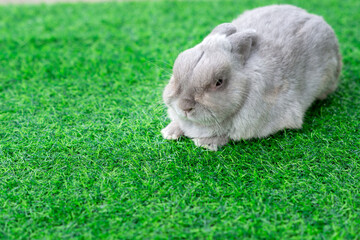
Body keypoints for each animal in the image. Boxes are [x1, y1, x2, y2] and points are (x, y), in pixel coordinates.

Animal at [162, 4, 342, 150]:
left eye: (219, 82)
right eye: (175, 72)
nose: (185, 106)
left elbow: (227, 134)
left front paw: (206, 143)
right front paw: (169, 133)